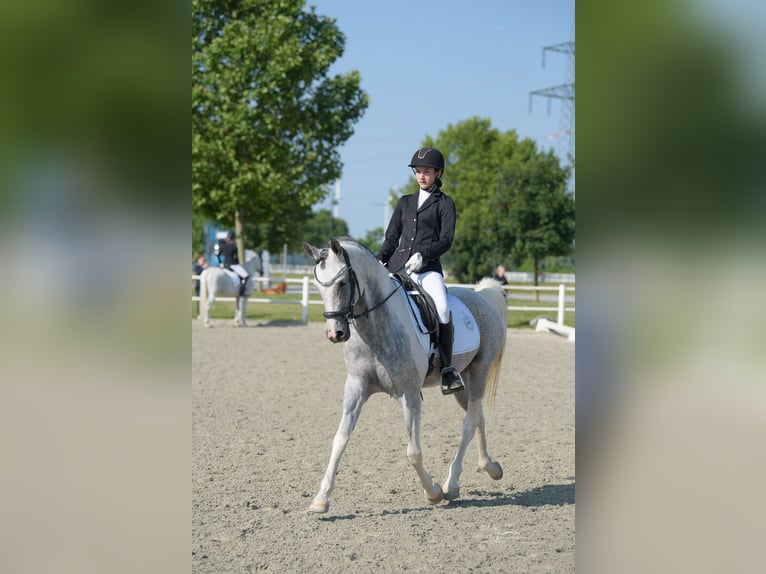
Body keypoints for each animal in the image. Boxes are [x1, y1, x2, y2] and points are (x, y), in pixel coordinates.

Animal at [302, 237, 507, 514]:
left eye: (343, 282)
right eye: (317, 286)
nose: (335, 333)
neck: (375, 329)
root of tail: (482, 296)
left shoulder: (409, 394)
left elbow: (413, 452)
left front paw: (433, 492)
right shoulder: (355, 387)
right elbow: (340, 439)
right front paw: (321, 499)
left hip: (479, 372)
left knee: (468, 422)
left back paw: (451, 484)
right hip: (462, 381)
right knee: (477, 417)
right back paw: (490, 467)